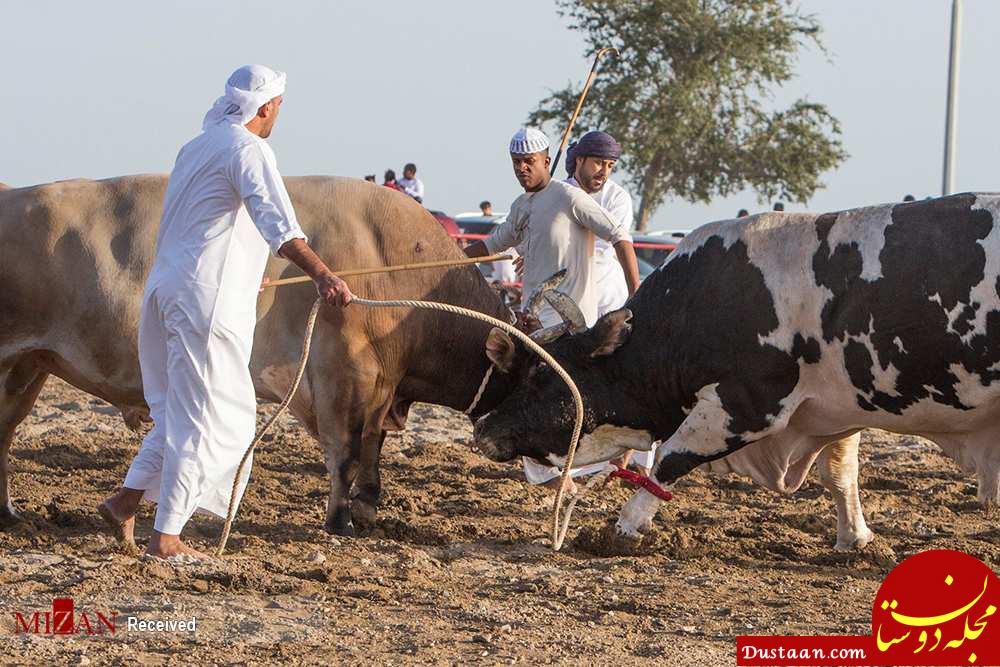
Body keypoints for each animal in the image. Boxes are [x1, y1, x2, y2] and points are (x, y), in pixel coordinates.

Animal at [472, 196, 1000, 552]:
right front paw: (857, 540)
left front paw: (624, 529)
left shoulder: (747, 404)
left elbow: (670, 459)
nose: (483, 430)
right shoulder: (832, 408)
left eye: (541, 376)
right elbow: (841, 474)